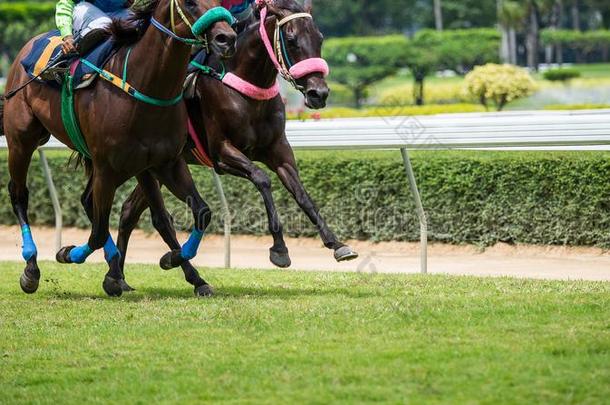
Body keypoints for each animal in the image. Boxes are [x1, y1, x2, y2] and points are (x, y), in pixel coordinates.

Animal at [1, 0, 235, 296]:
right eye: (190, 3)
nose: (227, 38)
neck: (146, 86)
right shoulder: (106, 167)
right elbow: (98, 232)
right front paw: (68, 253)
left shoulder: (166, 163)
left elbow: (200, 212)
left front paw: (172, 260)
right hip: (22, 139)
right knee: (19, 194)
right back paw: (31, 268)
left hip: (135, 167)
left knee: (105, 205)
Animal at [114, 0, 356, 288]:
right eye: (291, 39)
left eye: (320, 38)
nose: (319, 93)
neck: (248, 89)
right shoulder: (222, 153)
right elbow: (262, 178)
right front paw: (279, 249)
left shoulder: (279, 152)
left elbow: (302, 194)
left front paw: (337, 244)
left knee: (129, 210)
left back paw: (122, 277)